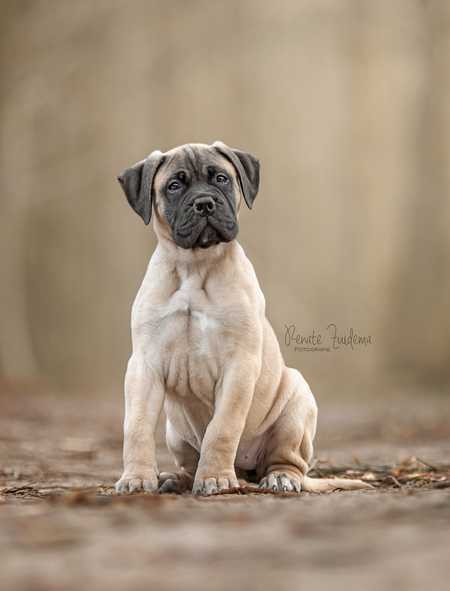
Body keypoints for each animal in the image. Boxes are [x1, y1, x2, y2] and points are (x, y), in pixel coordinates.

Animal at [115, 142, 370, 494]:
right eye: (174, 186)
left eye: (221, 178)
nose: (205, 203)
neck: (195, 266)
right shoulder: (144, 366)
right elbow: (136, 426)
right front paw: (137, 478)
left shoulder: (239, 364)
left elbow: (222, 427)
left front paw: (215, 478)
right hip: (174, 431)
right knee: (188, 463)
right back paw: (174, 478)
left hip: (296, 403)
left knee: (289, 462)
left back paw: (279, 478)